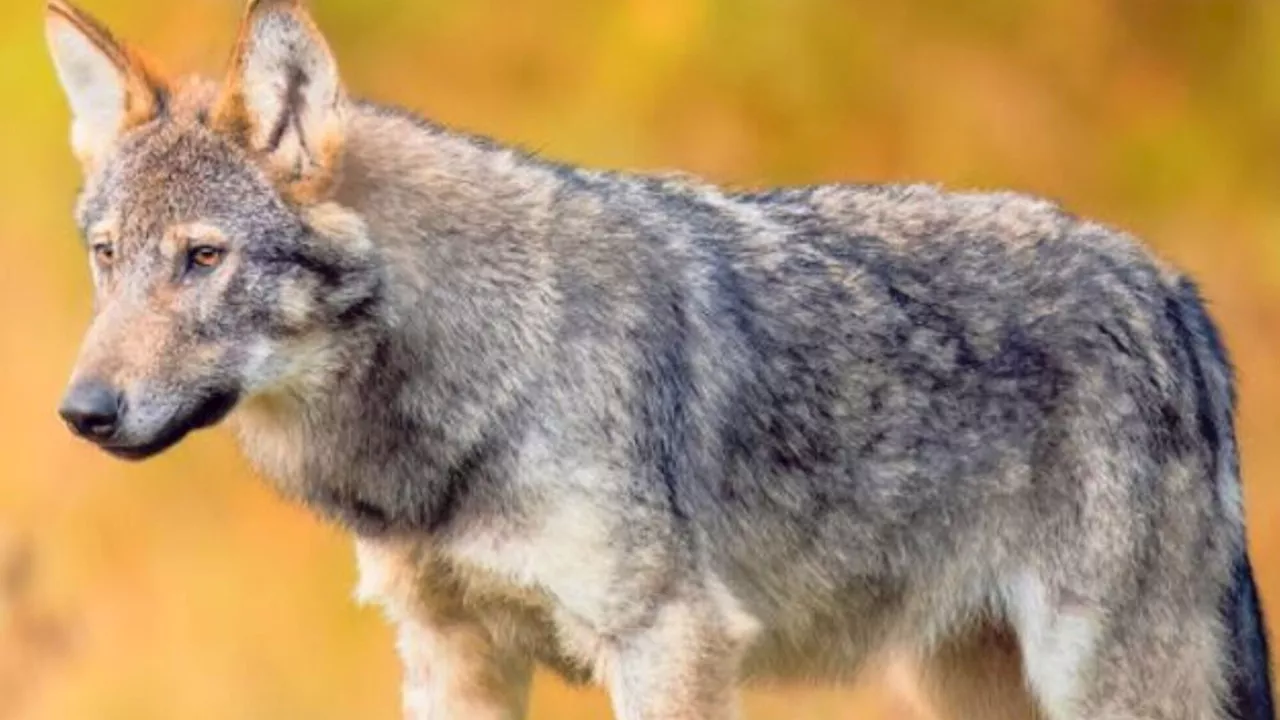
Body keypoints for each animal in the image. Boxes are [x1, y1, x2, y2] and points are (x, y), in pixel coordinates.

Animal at [45, 1, 1274, 717]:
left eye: (203, 258)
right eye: (107, 257)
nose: (81, 412)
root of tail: (1169, 287)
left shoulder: (669, 643)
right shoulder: (451, 653)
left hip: (1104, 683)